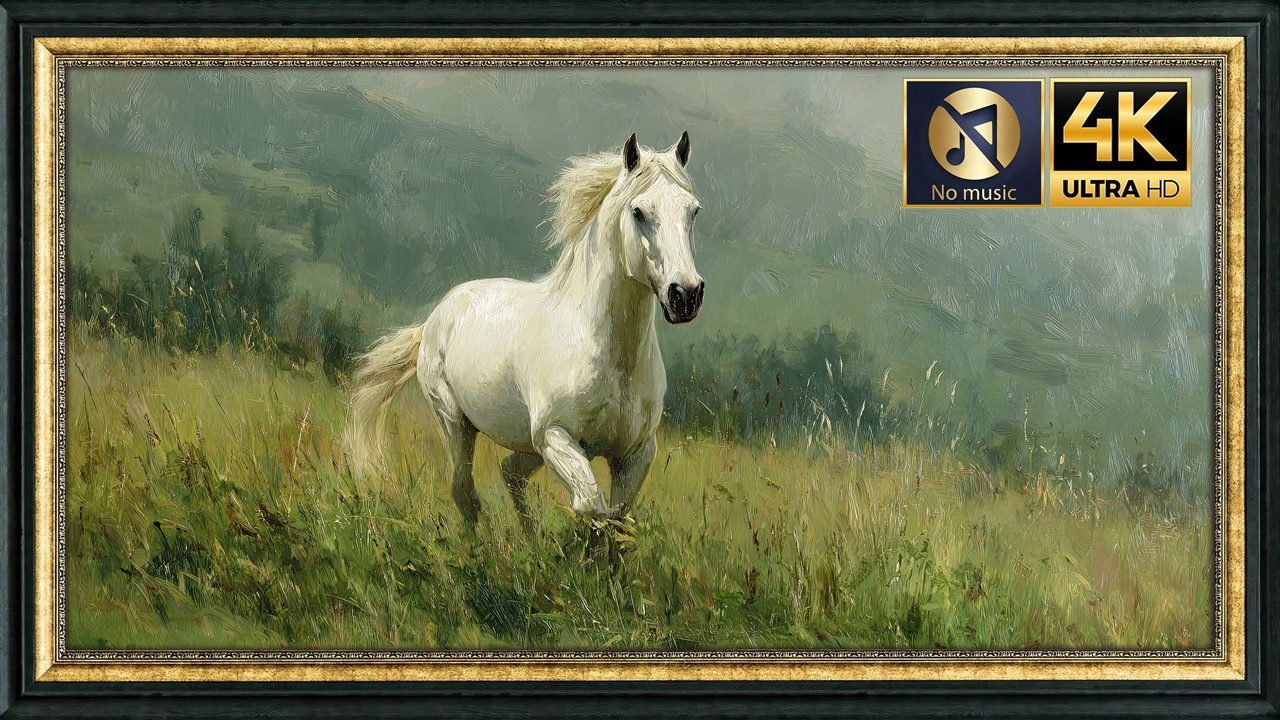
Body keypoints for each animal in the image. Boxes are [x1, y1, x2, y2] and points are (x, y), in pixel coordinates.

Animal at [345, 132, 705, 531]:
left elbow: (613, 524)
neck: (607, 352)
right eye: (639, 212)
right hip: (457, 424)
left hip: (527, 445)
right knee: (464, 491)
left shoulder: (636, 454)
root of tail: (435, 317)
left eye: (693, 211)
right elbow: (592, 508)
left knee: (509, 474)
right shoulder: (555, 436)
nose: (686, 295)